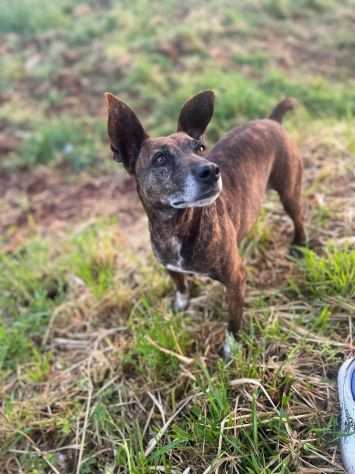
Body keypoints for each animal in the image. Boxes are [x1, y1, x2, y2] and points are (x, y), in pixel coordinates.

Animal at [105, 90, 306, 356]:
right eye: (160, 159)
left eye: (200, 148)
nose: (211, 170)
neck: (176, 226)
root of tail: (272, 121)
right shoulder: (170, 266)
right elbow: (180, 285)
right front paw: (180, 306)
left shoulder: (235, 279)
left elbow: (233, 320)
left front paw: (231, 349)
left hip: (289, 192)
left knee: (299, 217)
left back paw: (300, 245)